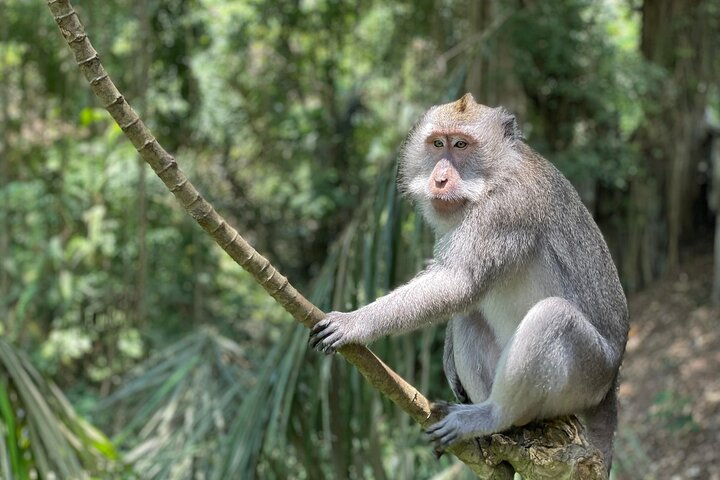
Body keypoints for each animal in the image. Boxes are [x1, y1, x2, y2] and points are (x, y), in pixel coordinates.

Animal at [309, 93, 629, 469]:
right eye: (437, 144)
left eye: (461, 145)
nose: (440, 180)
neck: (496, 175)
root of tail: (612, 384)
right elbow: (459, 291)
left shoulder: (505, 210)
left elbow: (458, 282)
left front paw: (355, 323)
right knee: (471, 318)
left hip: (588, 376)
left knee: (554, 317)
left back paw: (494, 415)